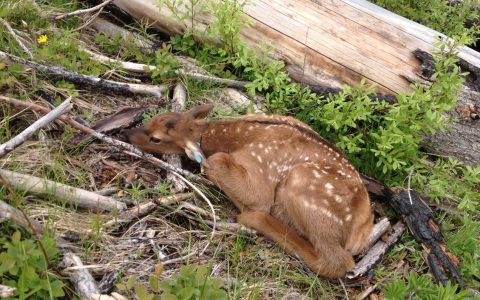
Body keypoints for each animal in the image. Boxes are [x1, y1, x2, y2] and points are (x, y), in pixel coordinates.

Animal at [124, 104, 372, 278]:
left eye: (156, 138)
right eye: (152, 120)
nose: (127, 134)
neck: (236, 138)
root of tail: (363, 231)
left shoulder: (260, 168)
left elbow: (219, 164)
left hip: (305, 187)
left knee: (338, 261)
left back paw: (252, 219)